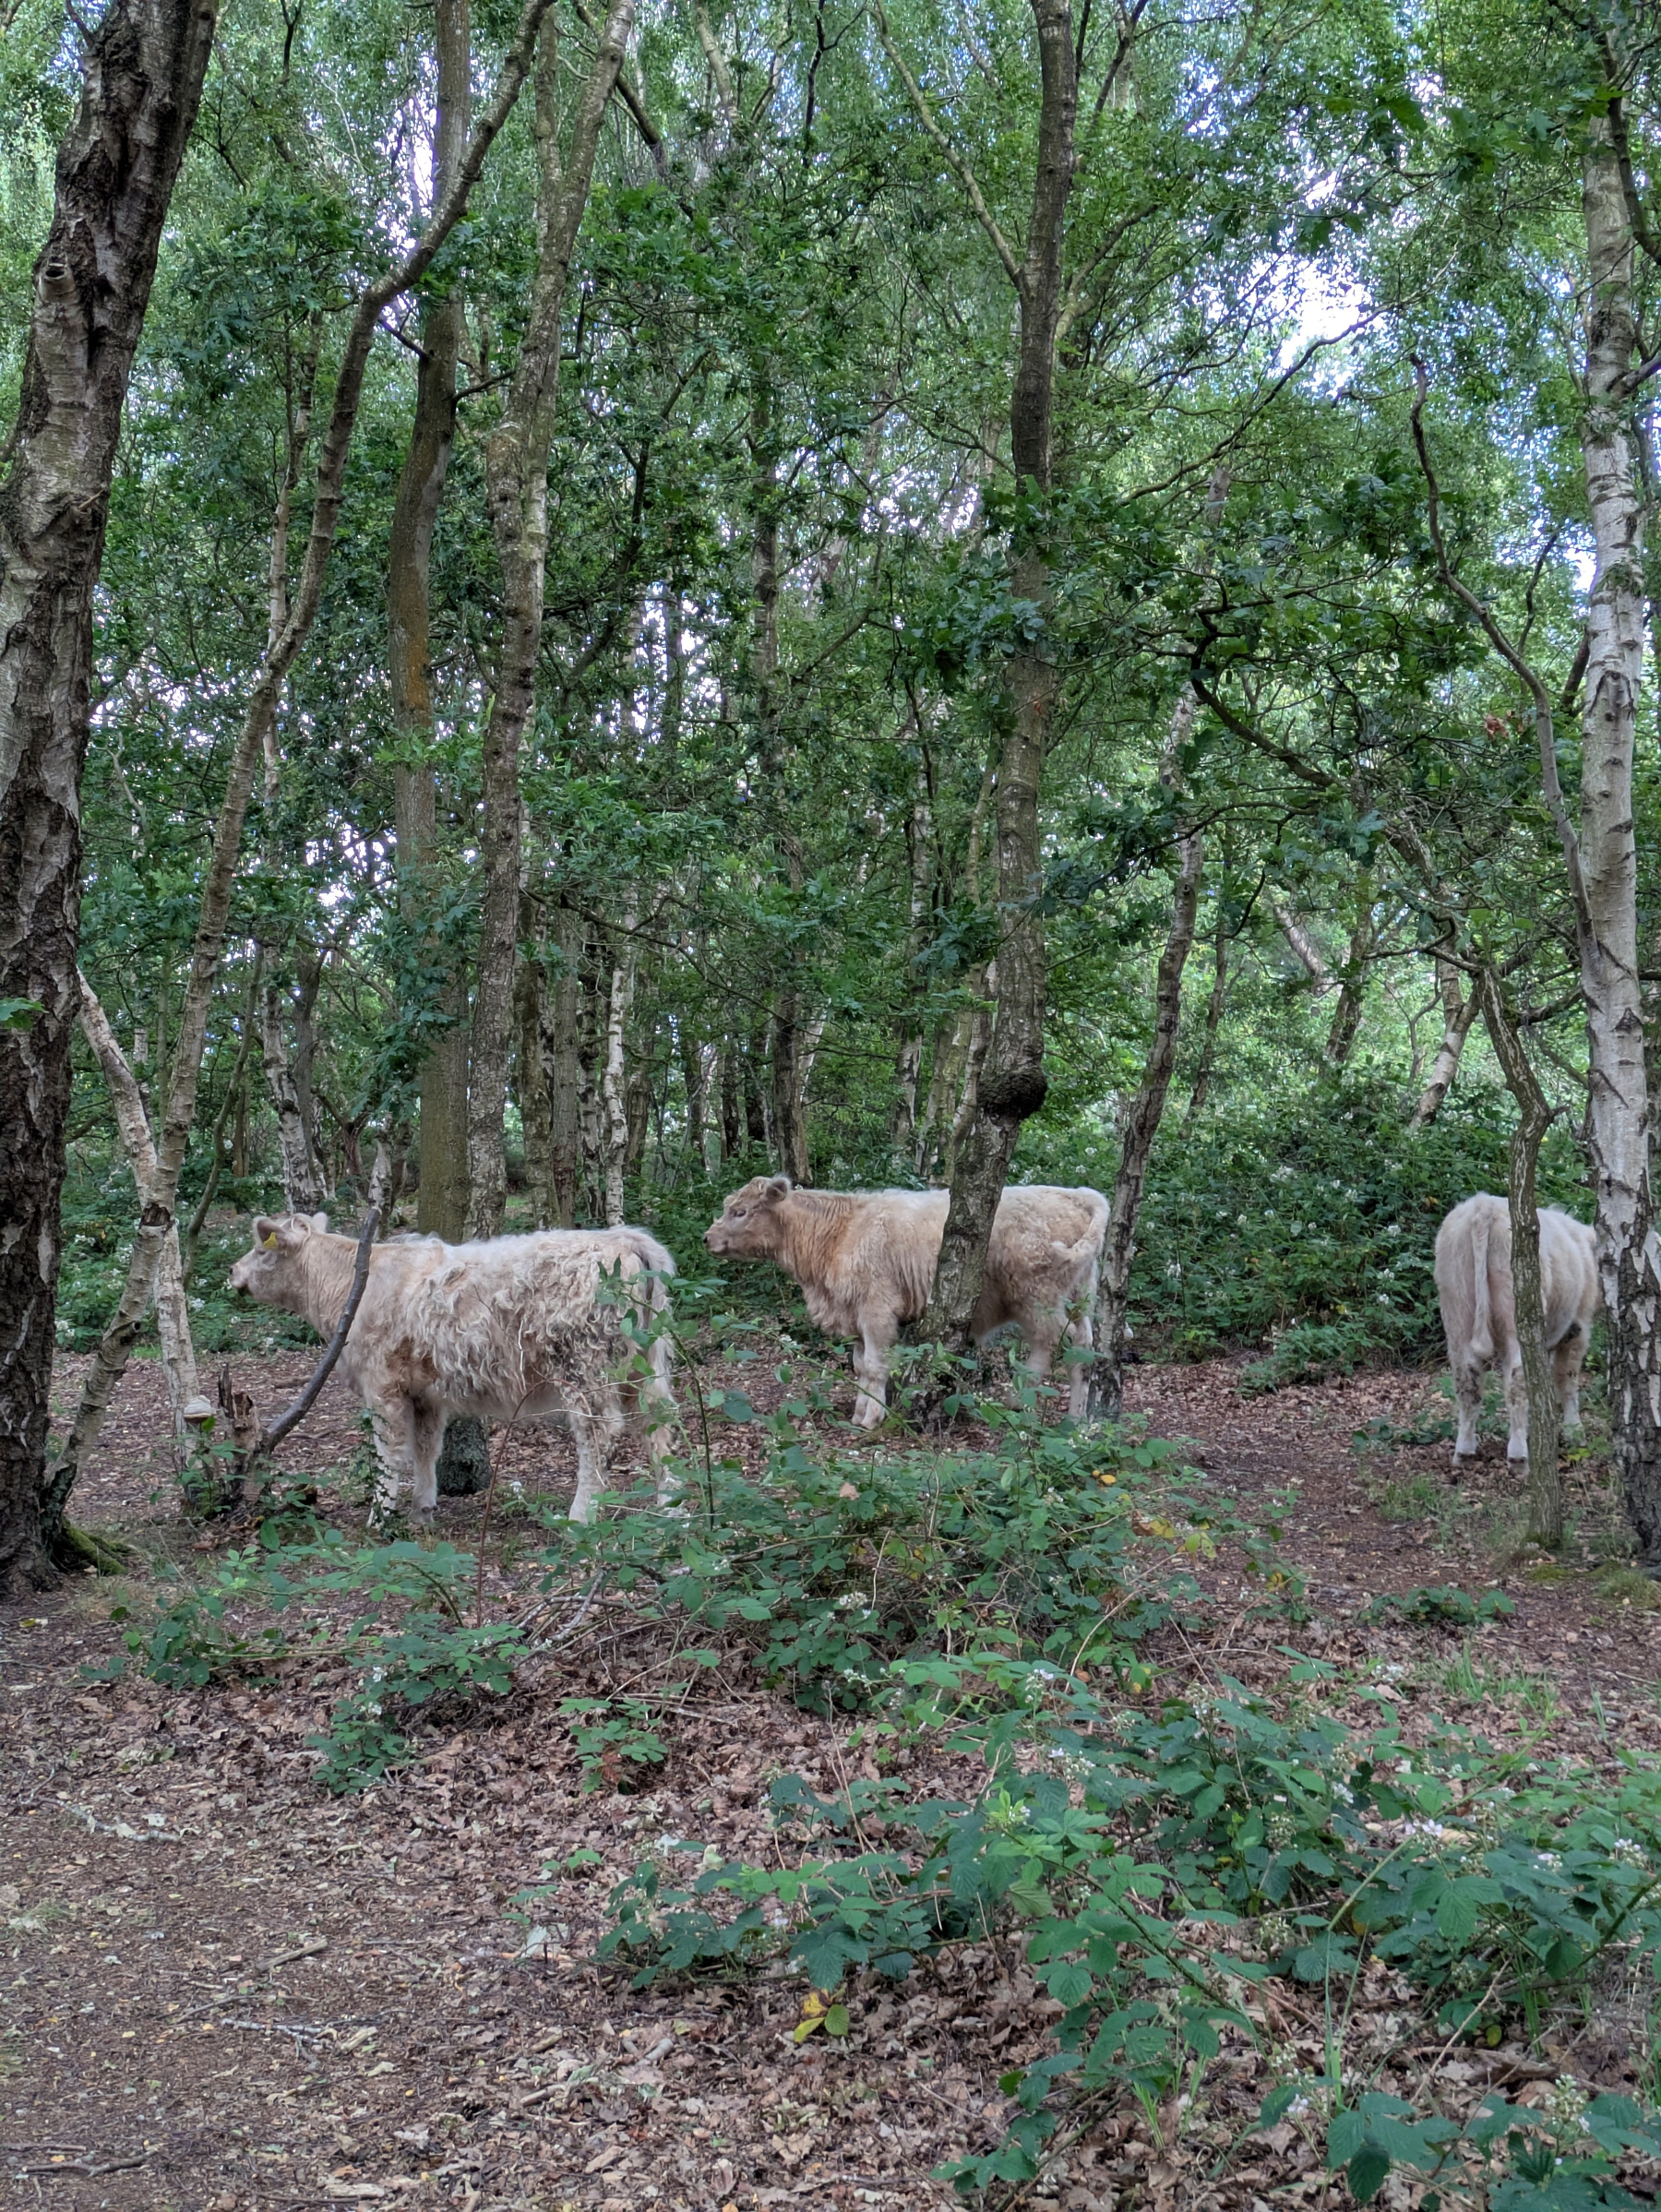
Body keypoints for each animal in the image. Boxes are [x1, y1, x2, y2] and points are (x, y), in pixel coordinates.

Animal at [228, 1214, 678, 1522]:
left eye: (262, 1250)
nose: (233, 1271)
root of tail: (622, 1238)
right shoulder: (425, 1392)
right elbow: (426, 1447)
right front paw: (422, 1508)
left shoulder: (383, 1386)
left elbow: (388, 1452)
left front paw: (381, 1515)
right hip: (643, 1369)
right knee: (659, 1425)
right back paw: (674, 1508)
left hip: (584, 1371)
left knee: (598, 1436)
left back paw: (581, 1516)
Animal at [704, 1177, 1109, 1425]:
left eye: (739, 1211)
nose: (707, 1238)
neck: (840, 1232)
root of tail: (1075, 1194)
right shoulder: (855, 1315)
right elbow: (861, 1366)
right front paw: (860, 1412)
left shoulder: (878, 1309)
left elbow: (877, 1365)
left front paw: (873, 1417)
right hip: (1079, 1297)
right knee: (1083, 1349)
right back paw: (1076, 1417)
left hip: (1039, 1298)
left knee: (1053, 1346)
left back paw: (1023, 1402)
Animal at [1433, 1194, 1599, 1462]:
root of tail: (1484, 1206)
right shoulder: (1577, 1329)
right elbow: (1566, 1379)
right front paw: (1574, 1433)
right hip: (1517, 1315)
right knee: (1518, 1378)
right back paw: (1519, 1455)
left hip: (1457, 1310)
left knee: (1467, 1379)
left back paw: (1465, 1450)